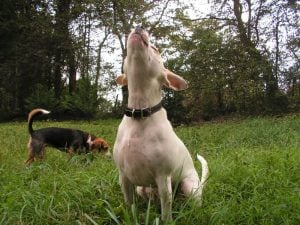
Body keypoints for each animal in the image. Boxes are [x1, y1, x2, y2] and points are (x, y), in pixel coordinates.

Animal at [112, 25, 209, 220]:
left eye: (156, 49)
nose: (138, 26)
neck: (140, 114)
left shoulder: (163, 178)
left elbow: (166, 210)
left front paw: (167, 220)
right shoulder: (124, 177)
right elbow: (129, 204)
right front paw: (130, 216)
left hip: (188, 187)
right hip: (142, 189)